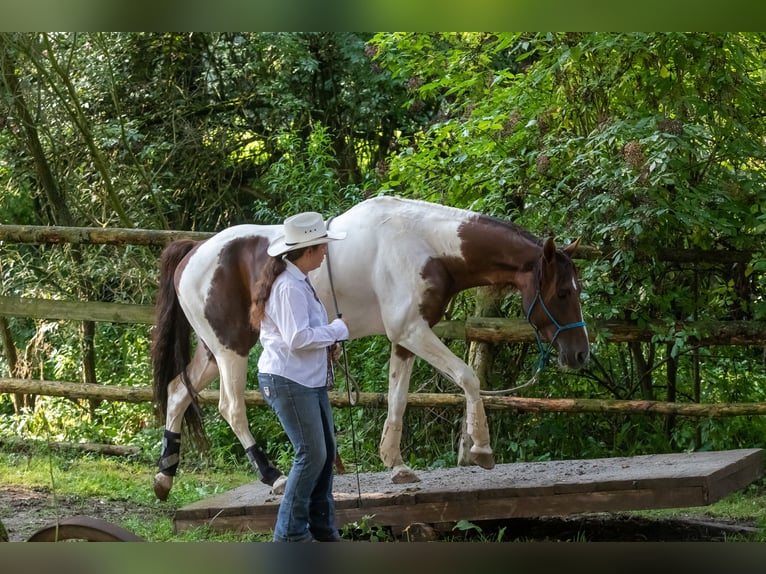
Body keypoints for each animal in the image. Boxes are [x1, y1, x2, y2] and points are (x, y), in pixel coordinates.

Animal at [151, 195, 590, 501]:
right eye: (564, 292)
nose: (581, 354)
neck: (426, 245)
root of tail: (192, 253)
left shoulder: (406, 338)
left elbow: (398, 398)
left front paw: (396, 464)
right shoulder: (412, 331)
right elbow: (468, 377)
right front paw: (481, 448)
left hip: (212, 352)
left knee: (177, 393)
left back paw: (164, 478)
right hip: (232, 350)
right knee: (231, 407)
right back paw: (272, 477)